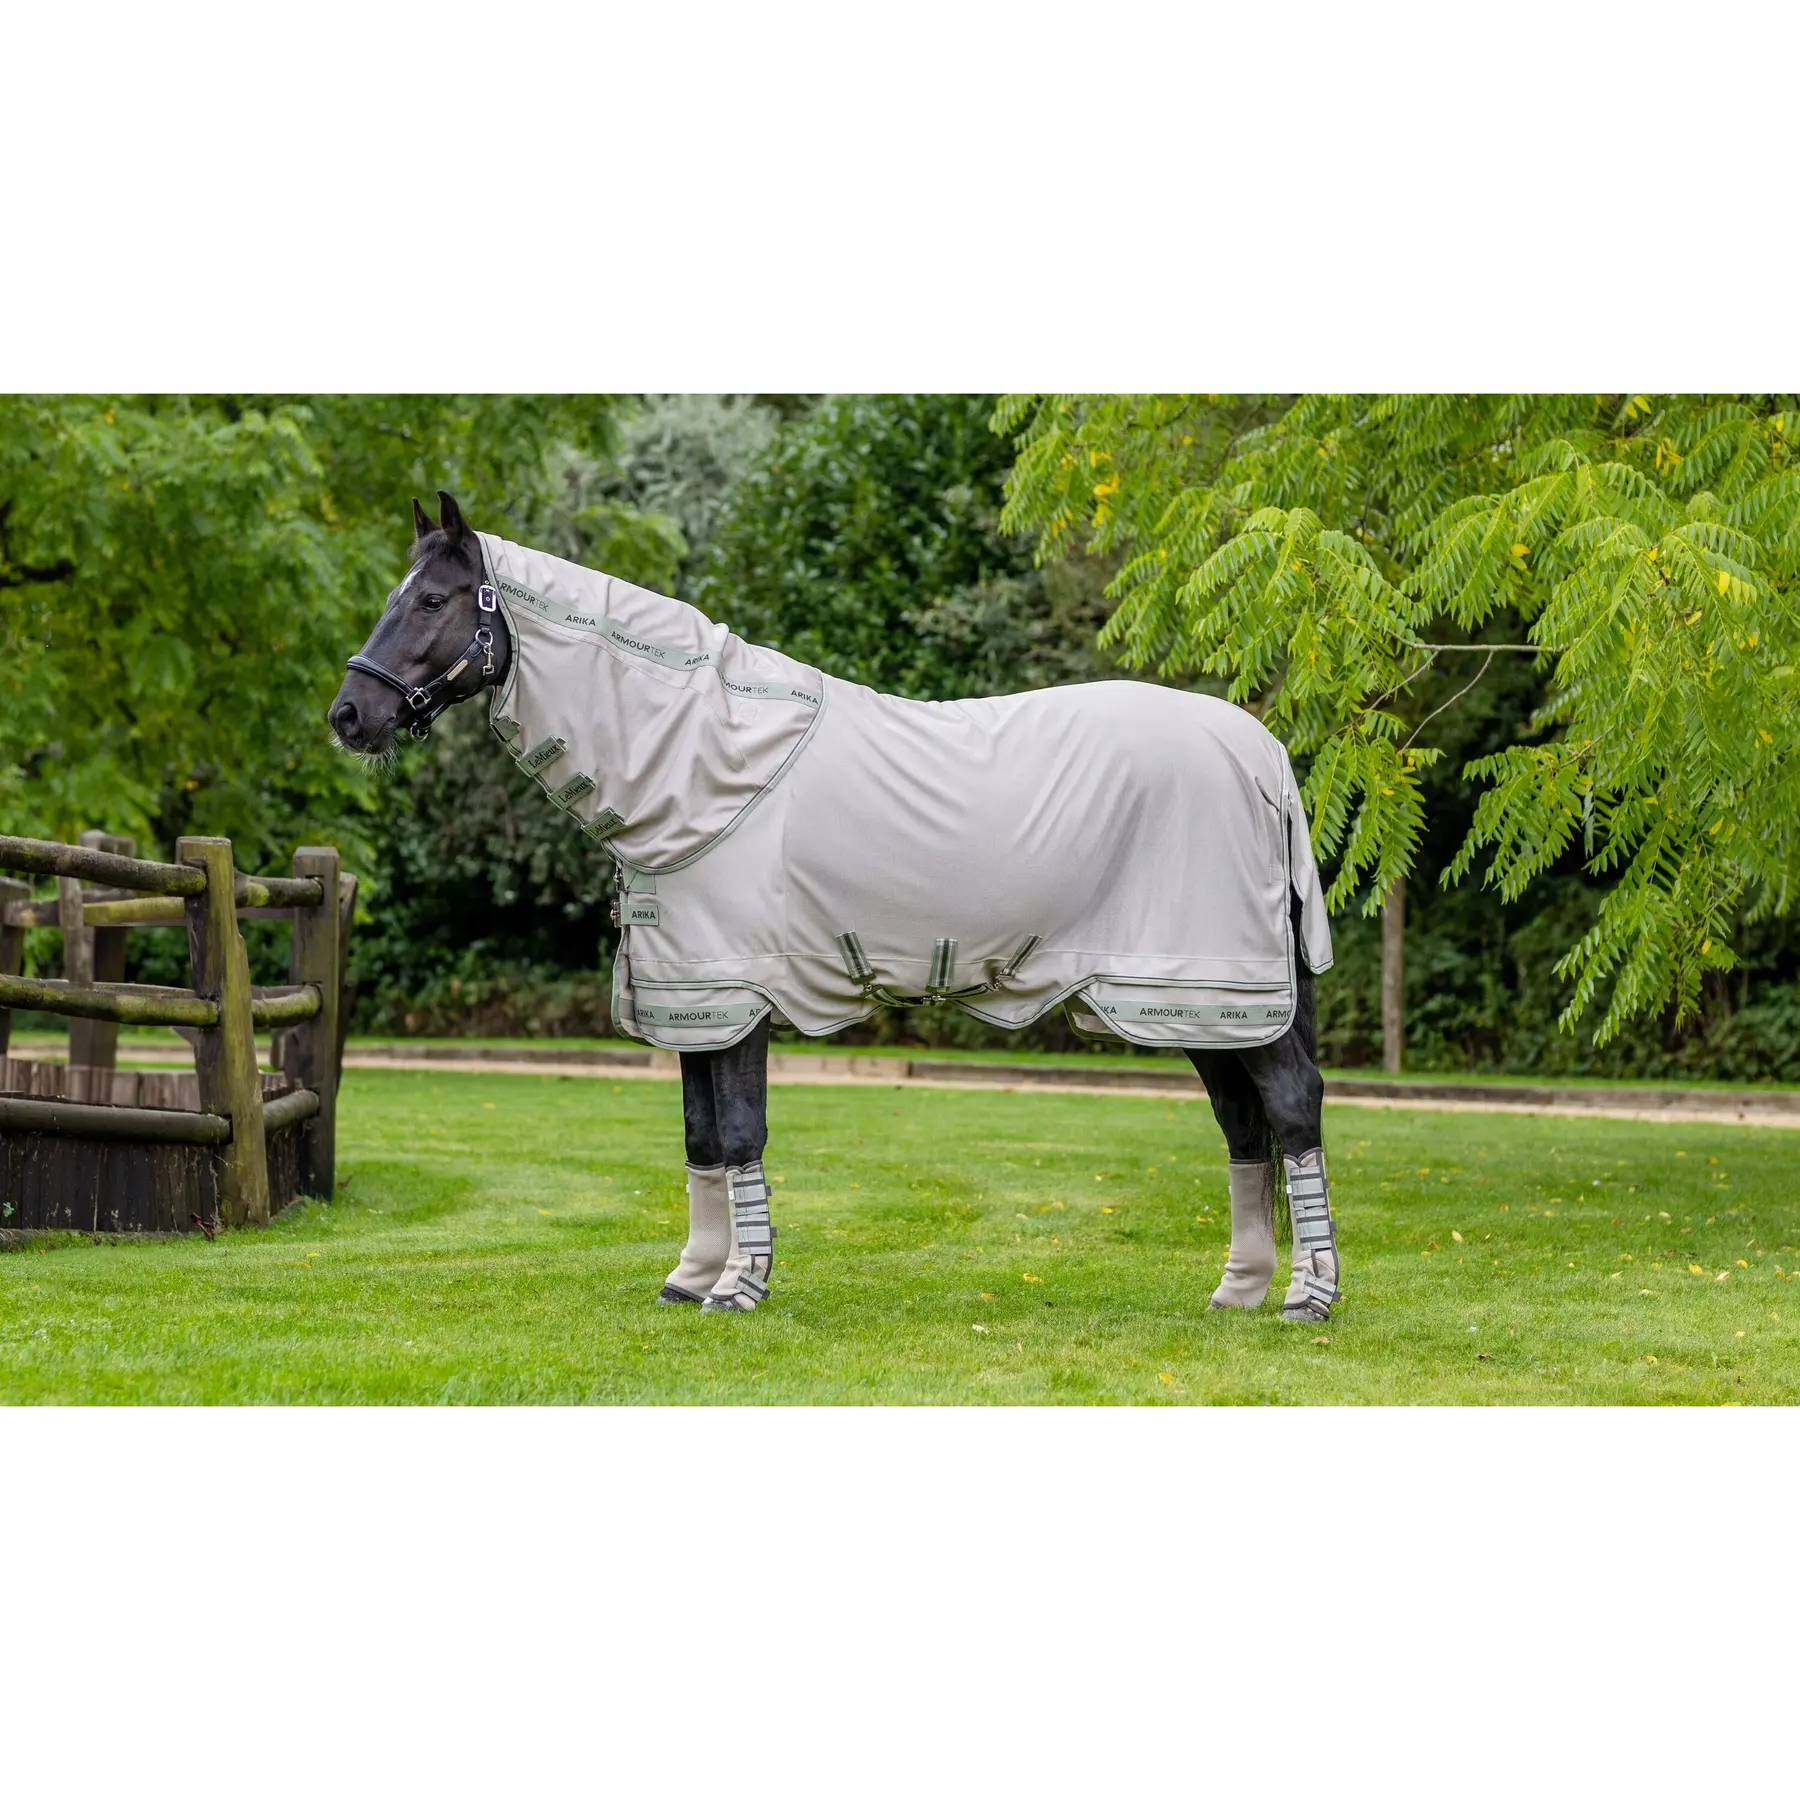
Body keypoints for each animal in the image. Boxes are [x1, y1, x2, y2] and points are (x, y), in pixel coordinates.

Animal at [329, 492, 1342, 1323]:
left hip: (1217, 991)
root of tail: (1263, 753)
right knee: (1243, 1124)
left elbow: (739, 1131)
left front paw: (739, 1288)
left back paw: (1308, 1299)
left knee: (1291, 1108)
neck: (709, 761)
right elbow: (700, 1135)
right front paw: (691, 1277)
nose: (349, 716)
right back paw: (1239, 1292)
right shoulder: (694, 998)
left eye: (431, 601)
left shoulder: (735, 996)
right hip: (1195, 1005)